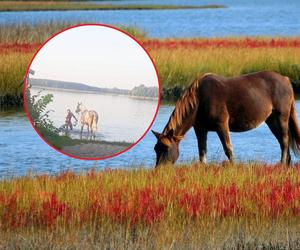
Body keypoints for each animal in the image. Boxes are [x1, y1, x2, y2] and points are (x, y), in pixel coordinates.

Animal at [152, 71, 300, 167]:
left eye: (166, 148)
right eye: (155, 148)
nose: (159, 170)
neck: (199, 100)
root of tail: (286, 79)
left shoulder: (221, 125)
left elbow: (228, 148)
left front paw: (234, 166)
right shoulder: (200, 129)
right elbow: (202, 152)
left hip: (282, 117)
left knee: (284, 141)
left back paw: (282, 163)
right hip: (271, 120)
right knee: (282, 141)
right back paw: (286, 164)